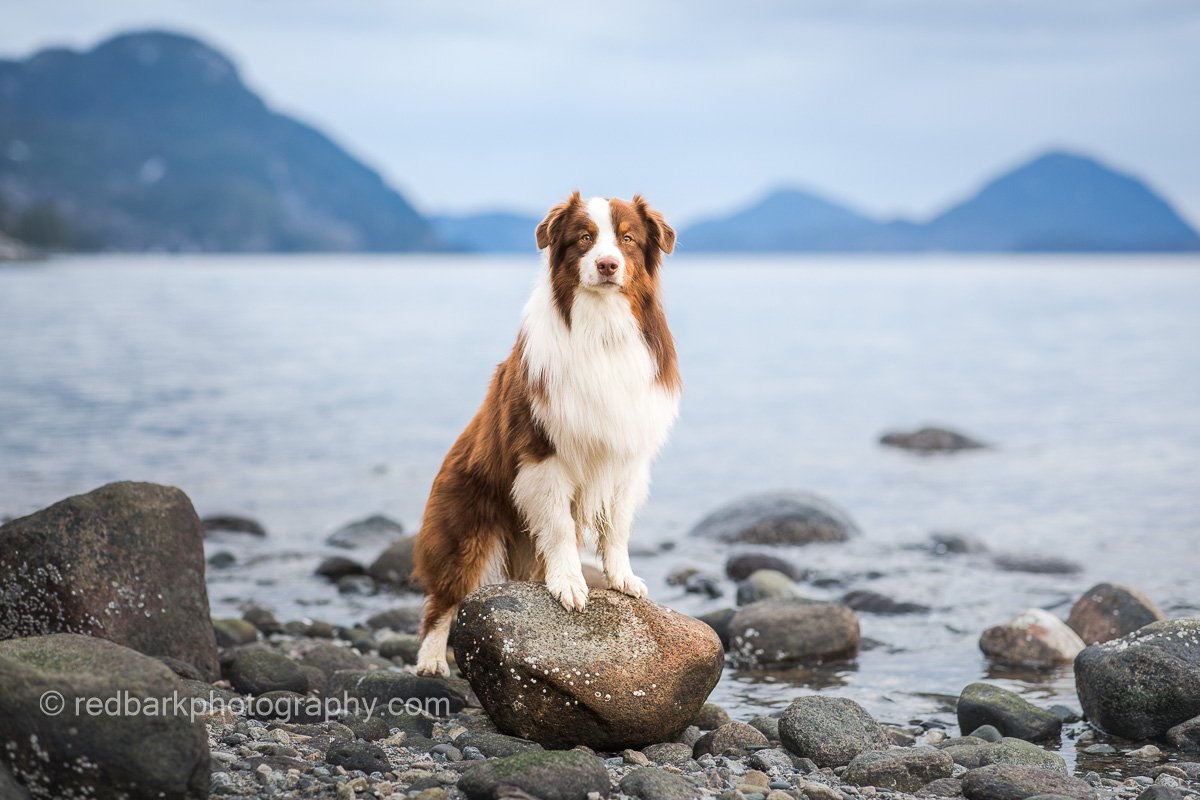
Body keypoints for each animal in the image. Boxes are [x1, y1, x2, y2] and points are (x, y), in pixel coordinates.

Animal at [412, 191, 681, 676]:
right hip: (465, 530)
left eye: (628, 239)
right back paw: (431, 660)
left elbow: (617, 528)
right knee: (443, 597)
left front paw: (621, 577)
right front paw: (570, 582)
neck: (602, 327)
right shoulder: (543, 454)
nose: (608, 264)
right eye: (584, 238)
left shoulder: (628, 456)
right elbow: (557, 526)